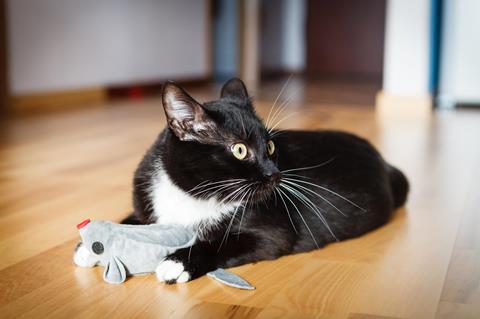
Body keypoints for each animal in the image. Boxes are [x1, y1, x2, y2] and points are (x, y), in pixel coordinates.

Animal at [75, 78, 408, 284]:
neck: (194, 195)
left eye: (271, 146)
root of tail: (384, 162)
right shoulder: (148, 200)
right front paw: (90, 246)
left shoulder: (272, 231)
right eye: (239, 150)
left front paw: (179, 262)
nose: (275, 174)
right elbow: (132, 219)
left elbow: (224, 243)